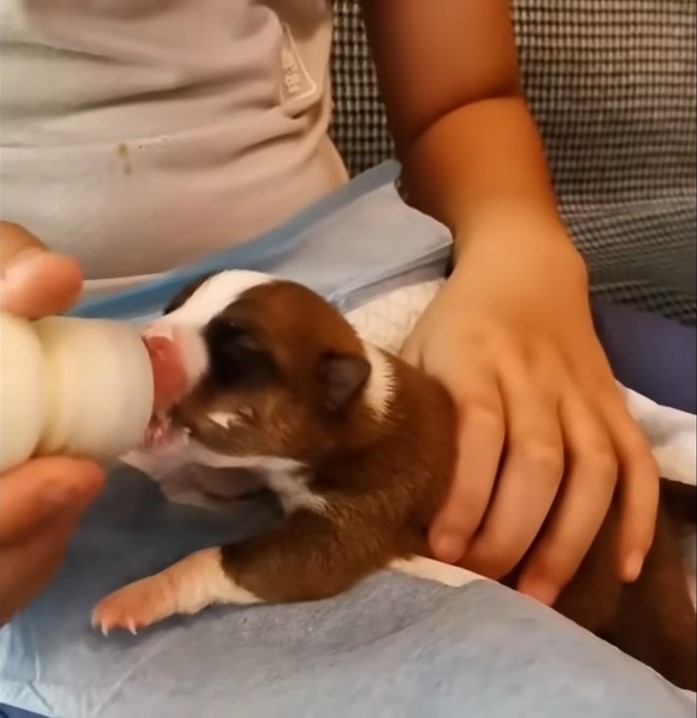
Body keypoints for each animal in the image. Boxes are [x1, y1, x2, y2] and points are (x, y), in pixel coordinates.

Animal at [95, 270, 696, 692]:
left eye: (238, 351)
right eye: (174, 307)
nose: (146, 342)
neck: (355, 409)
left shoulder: (349, 525)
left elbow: (229, 560)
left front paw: (141, 595)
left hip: (644, 599)